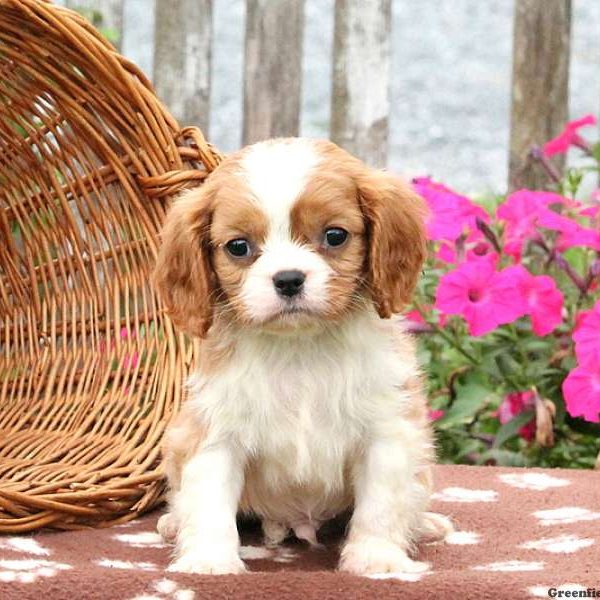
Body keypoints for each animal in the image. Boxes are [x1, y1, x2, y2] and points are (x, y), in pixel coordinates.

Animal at [150, 138, 450, 576]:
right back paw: (173, 523)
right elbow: (209, 502)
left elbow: (381, 502)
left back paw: (425, 523)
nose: (288, 279)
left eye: (335, 235)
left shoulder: (387, 430)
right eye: (238, 247)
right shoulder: (215, 431)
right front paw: (209, 561)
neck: (299, 347)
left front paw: (376, 558)